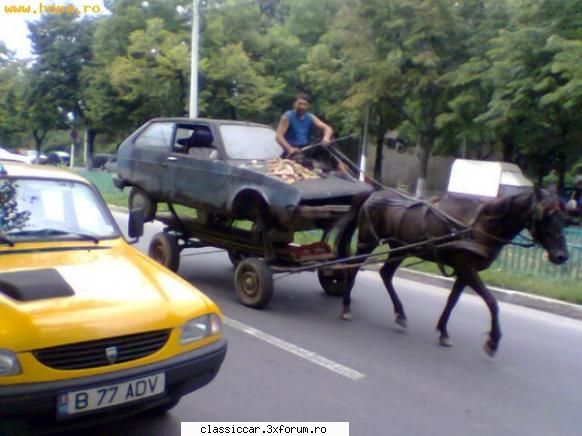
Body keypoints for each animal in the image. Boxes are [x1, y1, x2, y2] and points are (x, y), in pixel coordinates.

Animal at [338, 186, 572, 356]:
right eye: (545, 217)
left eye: (563, 218)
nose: (562, 256)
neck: (481, 224)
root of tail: (373, 194)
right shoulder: (467, 268)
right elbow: (492, 302)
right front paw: (493, 341)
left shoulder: (464, 270)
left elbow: (452, 300)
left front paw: (443, 331)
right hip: (367, 242)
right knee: (352, 269)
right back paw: (346, 306)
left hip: (400, 248)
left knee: (385, 274)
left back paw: (400, 314)